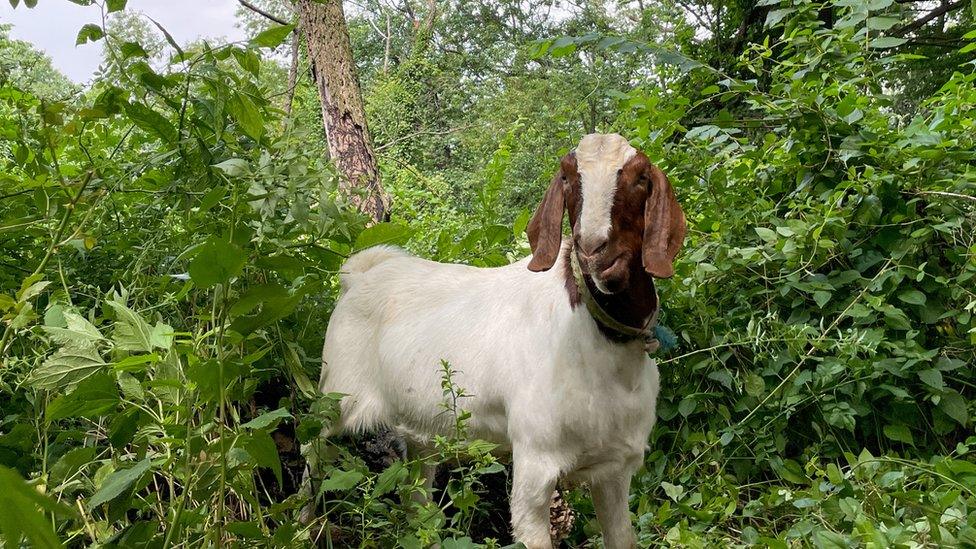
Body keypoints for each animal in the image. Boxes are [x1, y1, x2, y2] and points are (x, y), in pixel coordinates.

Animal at [318, 134, 688, 548]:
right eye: (567, 177)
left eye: (641, 177)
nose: (593, 249)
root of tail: (358, 275)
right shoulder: (536, 459)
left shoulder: (614, 466)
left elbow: (621, 535)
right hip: (333, 396)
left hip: (421, 434)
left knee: (417, 501)